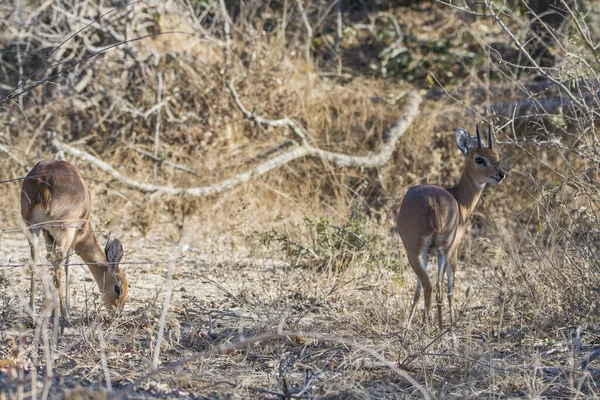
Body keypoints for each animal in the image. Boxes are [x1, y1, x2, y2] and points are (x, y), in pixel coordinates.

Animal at [21, 161, 129, 320]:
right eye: (118, 288)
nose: (117, 313)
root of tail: (44, 180)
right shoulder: (75, 234)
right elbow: (68, 265)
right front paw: (65, 308)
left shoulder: (48, 234)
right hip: (65, 231)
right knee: (59, 264)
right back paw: (65, 314)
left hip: (32, 227)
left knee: (35, 261)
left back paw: (32, 313)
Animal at [400, 125, 504, 328]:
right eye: (479, 158)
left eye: (497, 156)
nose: (500, 174)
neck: (459, 199)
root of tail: (433, 204)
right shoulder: (454, 249)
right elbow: (451, 287)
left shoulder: (428, 254)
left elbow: (417, 290)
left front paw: (408, 326)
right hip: (436, 251)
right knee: (438, 287)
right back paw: (439, 329)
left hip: (421, 253)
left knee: (431, 286)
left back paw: (428, 328)